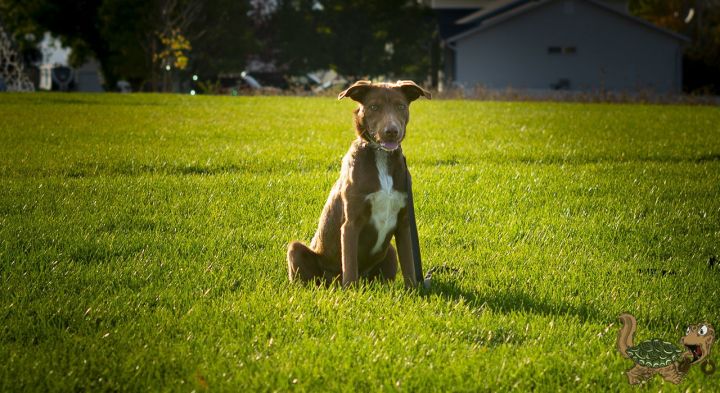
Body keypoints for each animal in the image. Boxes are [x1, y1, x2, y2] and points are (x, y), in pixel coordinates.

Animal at [286, 80, 430, 288]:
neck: (380, 156)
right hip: (295, 250)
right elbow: (350, 265)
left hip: (390, 252)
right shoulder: (350, 223)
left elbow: (409, 265)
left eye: (401, 106)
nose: (391, 132)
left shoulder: (404, 223)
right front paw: (351, 293)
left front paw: (413, 290)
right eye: (374, 107)